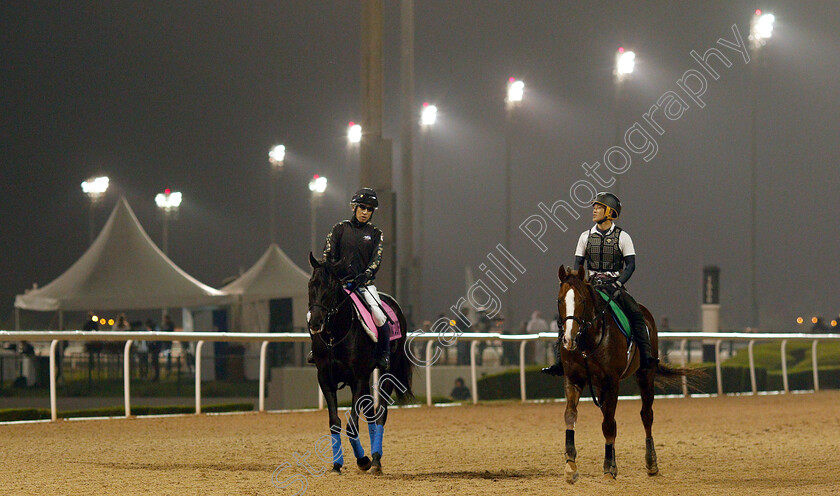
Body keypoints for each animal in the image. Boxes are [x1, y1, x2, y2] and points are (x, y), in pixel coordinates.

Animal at [308, 254, 414, 474]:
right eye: (311, 284)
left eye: (331, 287)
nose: (315, 322)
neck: (335, 336)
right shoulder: (326, 379)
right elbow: (334, 422)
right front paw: (337, 465)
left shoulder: (358, 378)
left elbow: (352, 425)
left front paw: (363, 460)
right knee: (371, 414)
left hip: (387, 372)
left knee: (381, 413)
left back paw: (375, 461)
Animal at [556, 266, 692, 482]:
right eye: (560, 300)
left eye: (582, 301)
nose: (569, 339)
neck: (589, 340)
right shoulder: (573, 378)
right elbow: (571, 415)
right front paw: (570, 465)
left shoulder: (612, 382)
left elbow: (608, 424)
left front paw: (609, 467)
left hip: (645, 375)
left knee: (646, 415)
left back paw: (651, 463)